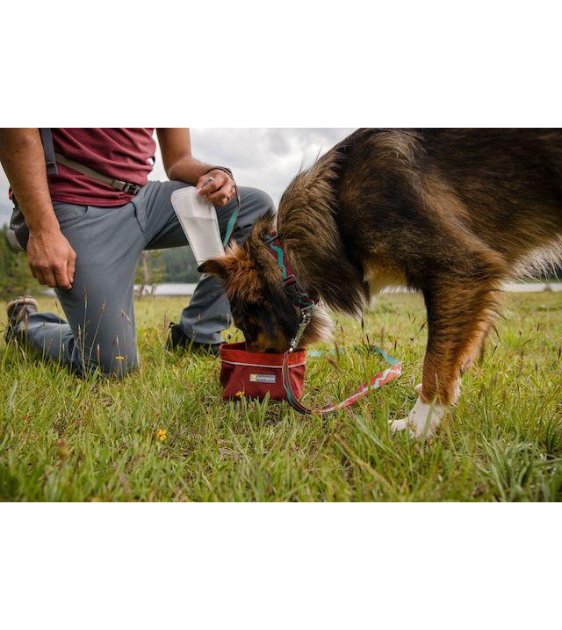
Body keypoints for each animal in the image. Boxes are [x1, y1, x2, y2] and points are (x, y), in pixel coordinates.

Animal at [201, 130, 560, 440]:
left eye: (247, 325)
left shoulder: (460, 269)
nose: (249, 366)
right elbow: (453, 355)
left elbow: (435, 364)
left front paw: (417, 426)